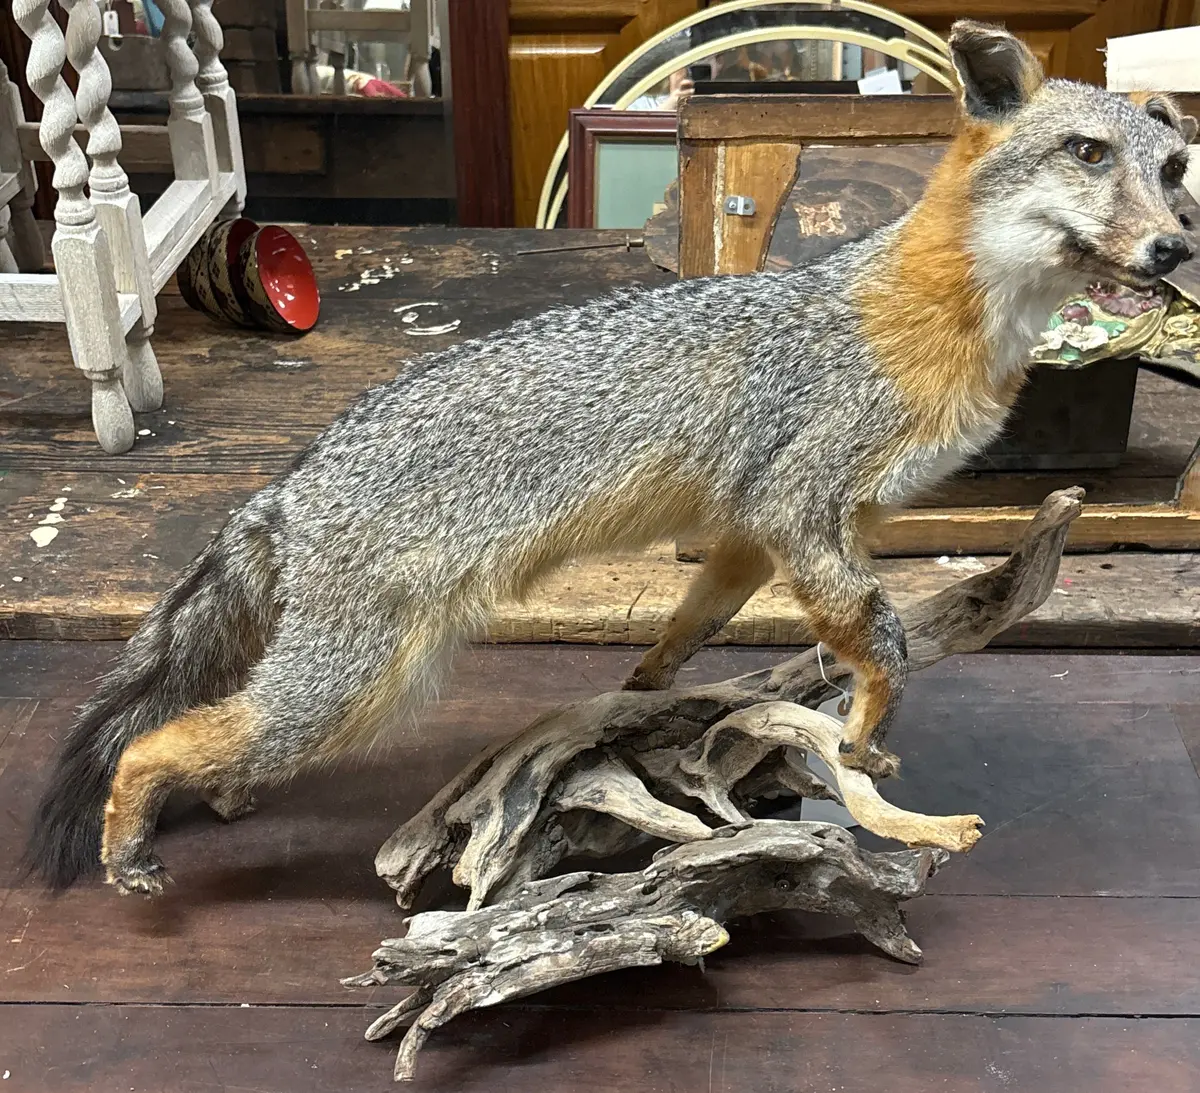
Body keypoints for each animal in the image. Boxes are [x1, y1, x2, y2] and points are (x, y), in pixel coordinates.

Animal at [24, 21, 1196, 897]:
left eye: (1175, 171)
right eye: (1090, 155)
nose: (1177, 245)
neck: (937, 319)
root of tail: (289, 483)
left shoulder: (755, 533)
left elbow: (693, 629)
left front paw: (646, 696)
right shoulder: (800, 503)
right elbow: (883, 637)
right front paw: (865, 724)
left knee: (218, 735)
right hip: (355, 686)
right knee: (156, 742)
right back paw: (130, 843)